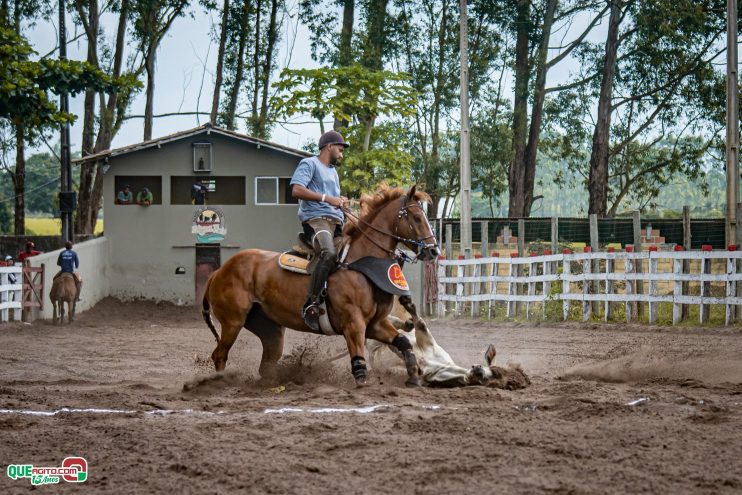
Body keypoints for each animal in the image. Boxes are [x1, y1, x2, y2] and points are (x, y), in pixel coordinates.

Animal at [202, 184, 442, 386]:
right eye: (417, 218)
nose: (433, 251)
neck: (360, 263)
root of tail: (218, 272)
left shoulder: (375, 324)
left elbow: (403, 342)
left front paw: (414, 375)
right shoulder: (354, 323)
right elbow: (359, 362)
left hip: (270, 330)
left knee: (265, 364)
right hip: (232, 322)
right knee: (219, 354)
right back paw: (218, 383)